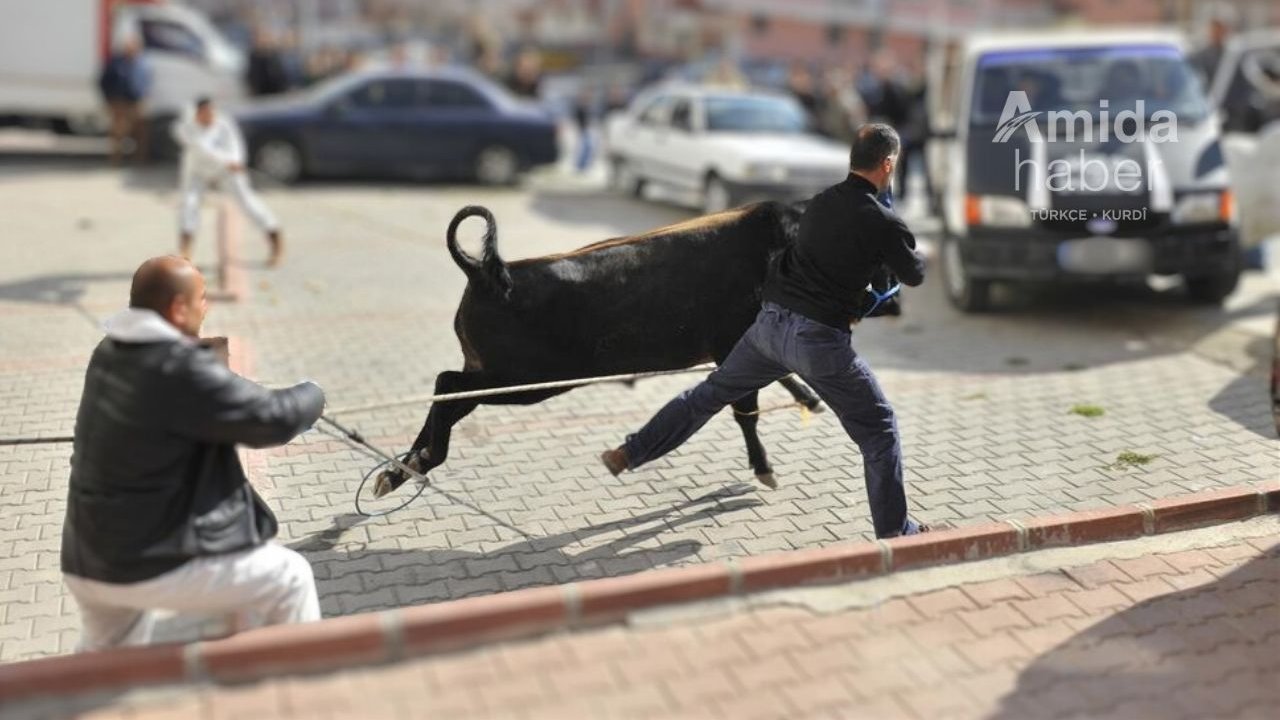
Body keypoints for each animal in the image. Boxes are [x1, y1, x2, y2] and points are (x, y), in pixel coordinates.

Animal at [373, 198, 901, 497]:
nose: (895, 298)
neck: (774, 249)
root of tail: (489, 270)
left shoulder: (747, 345)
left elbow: (774, 381)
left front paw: (807, 401)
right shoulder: (733, 344)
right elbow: (745, 408)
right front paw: (765, 468)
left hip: (505, 375)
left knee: (448, 392)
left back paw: (402, 469)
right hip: (523, 380)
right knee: (448, 387)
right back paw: (414, 464)